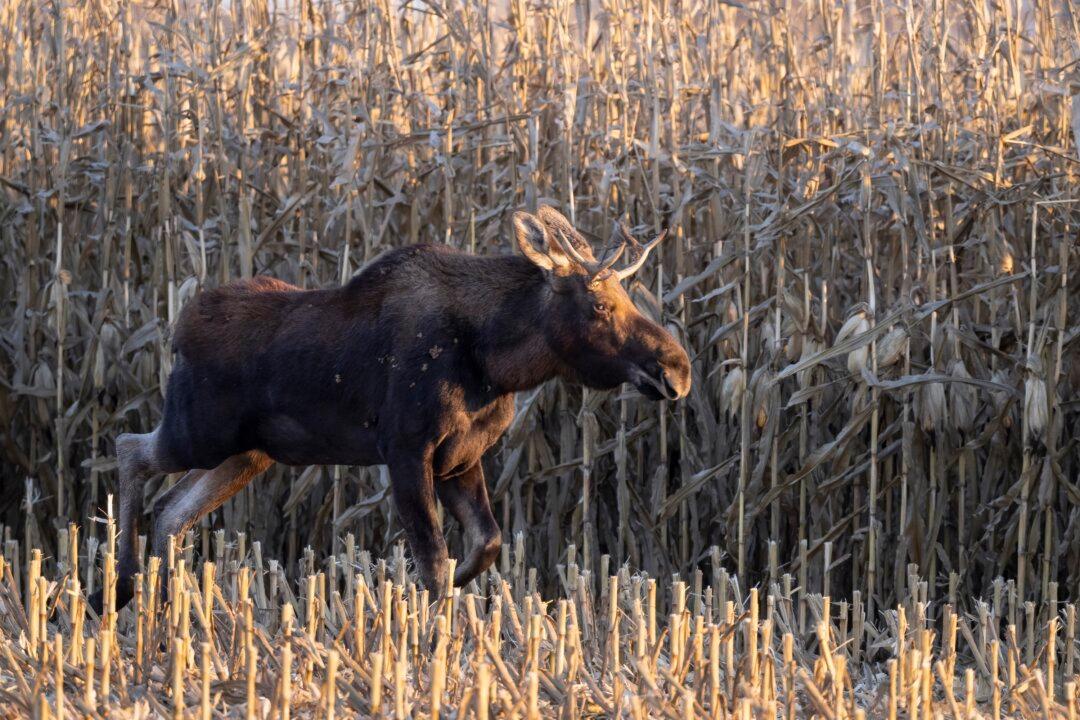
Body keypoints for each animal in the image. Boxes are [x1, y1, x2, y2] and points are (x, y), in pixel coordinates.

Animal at [87, 205, 691, 614]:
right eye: (599, 304)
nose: (678, 369)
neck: (495, 361)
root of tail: (177, 330)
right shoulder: (405, 449)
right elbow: (433, 560)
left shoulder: (460, 459)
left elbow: (486, 544)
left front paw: (442, 594)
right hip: (198, 431)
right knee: (130, 449)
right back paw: (119, 589)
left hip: (248, 454)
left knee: (172, 510)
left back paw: (164, 607)